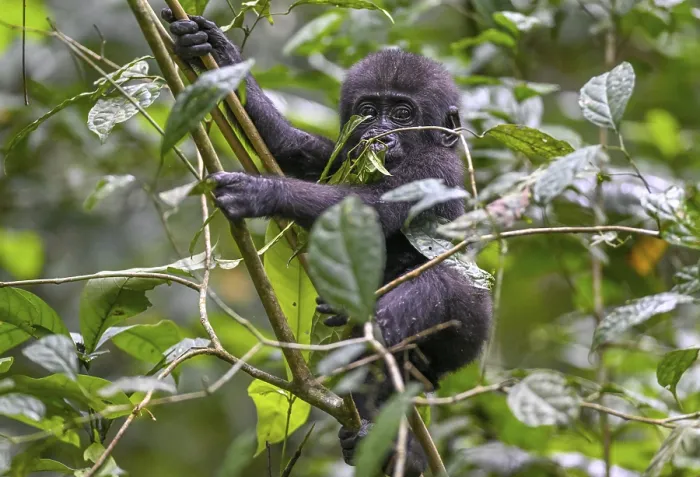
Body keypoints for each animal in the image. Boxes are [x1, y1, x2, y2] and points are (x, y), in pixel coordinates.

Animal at [163, 10, 492, 476]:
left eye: (403, 113)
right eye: (368, 111)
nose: (379, 134)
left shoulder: (434, 167)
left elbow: (367, 212)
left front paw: (264, 193)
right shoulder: (342, 153)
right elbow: (294, 149)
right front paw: (213, 49)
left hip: (471, 320)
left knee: (411, 308)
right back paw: (394, 449)